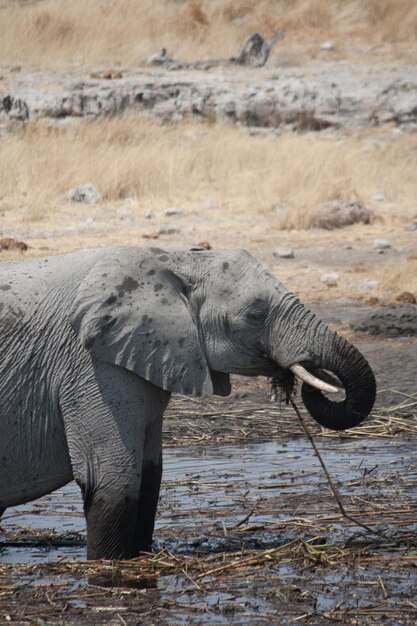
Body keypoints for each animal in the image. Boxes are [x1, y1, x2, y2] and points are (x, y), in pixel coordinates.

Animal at [0, 244, 374, 556]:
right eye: (255, 314)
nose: (310, 374)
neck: (175, 260)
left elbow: (150, 477)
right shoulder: (91, 364)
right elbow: (111, 480)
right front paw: (109, 565)